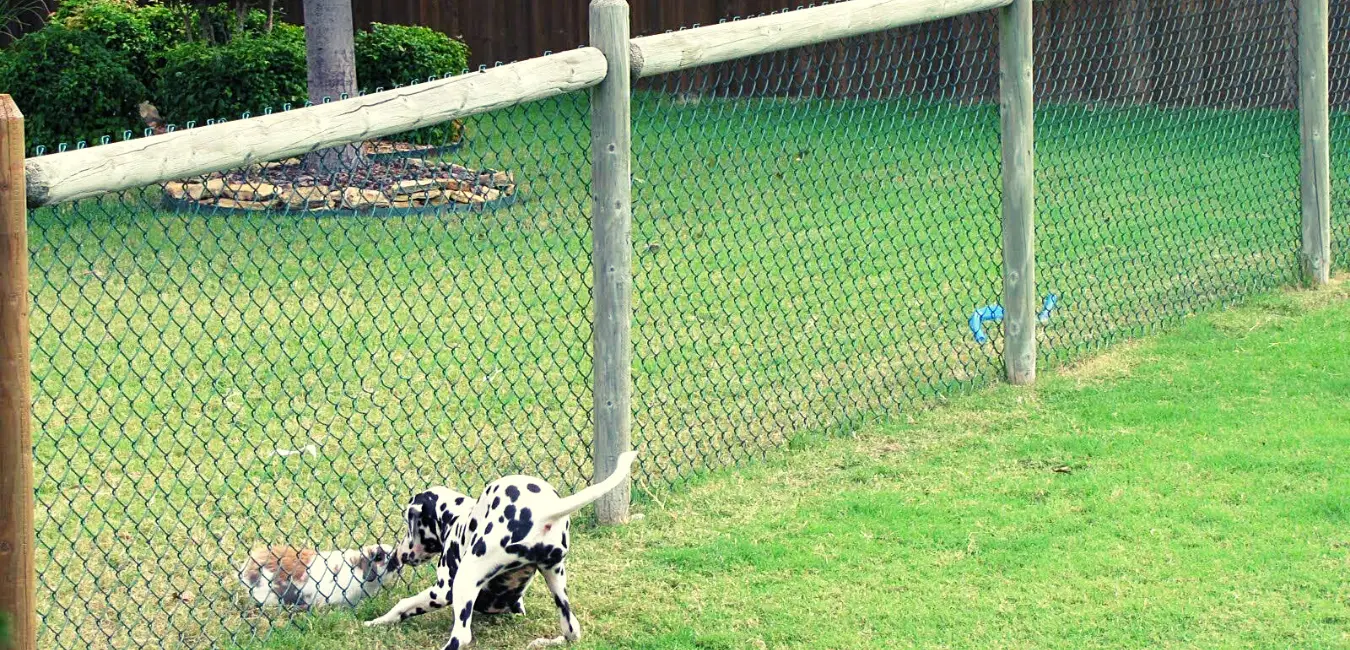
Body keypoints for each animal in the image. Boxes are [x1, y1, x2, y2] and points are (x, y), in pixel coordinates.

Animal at [367, 451, 639, 648]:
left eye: (407, 524)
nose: (399, 555)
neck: (458, 517)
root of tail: (544, 510)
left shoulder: (442, 591)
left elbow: (402, 605)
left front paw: (375, 621)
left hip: (466, 577)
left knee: (461, 638)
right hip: (556, 580)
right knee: (572, 630)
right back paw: (545, 641)